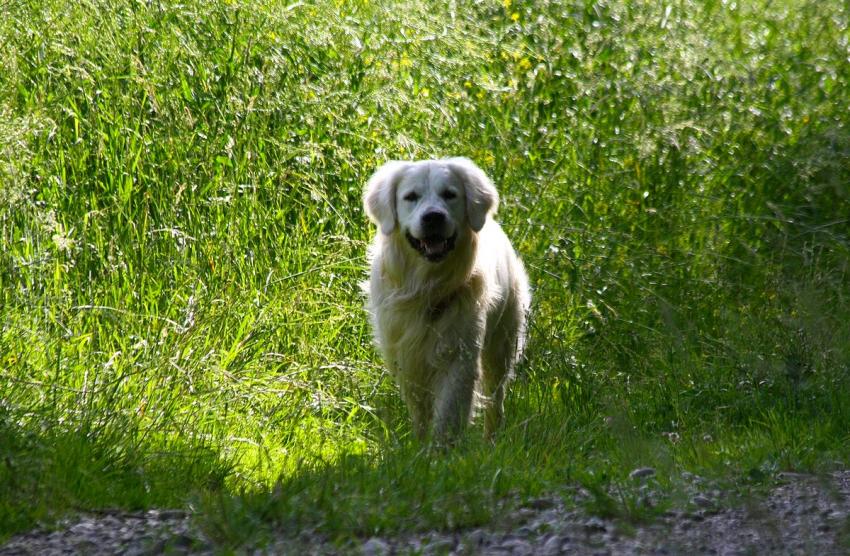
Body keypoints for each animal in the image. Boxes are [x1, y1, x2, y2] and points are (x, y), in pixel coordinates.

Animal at [360, 156, 528, 438]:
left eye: (450, 194)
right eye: (411, 197)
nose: (433, 217)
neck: (427, 285)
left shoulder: (460, 356)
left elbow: (448, 414)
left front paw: (441, 448)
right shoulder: (407, 356)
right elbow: (420, 411)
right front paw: (419, 443)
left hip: (502, 343)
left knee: (496, 398)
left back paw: (492, 440)